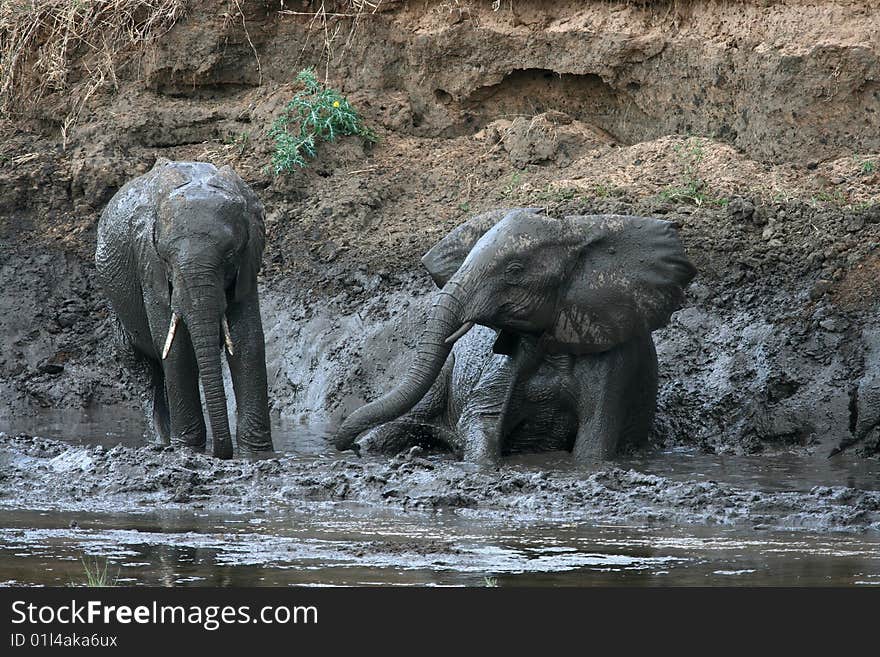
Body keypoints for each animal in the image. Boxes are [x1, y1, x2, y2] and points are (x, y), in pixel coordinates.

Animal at [96, 159, 272, 456]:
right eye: (166, 258)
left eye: (230, 255)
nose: (222, 453)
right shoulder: (148, 263)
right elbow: (176, 347)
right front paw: (188, 448)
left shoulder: (249, 262)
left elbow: (247, 341)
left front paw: (258, 453)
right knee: (141, 366)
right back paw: (161, 442)